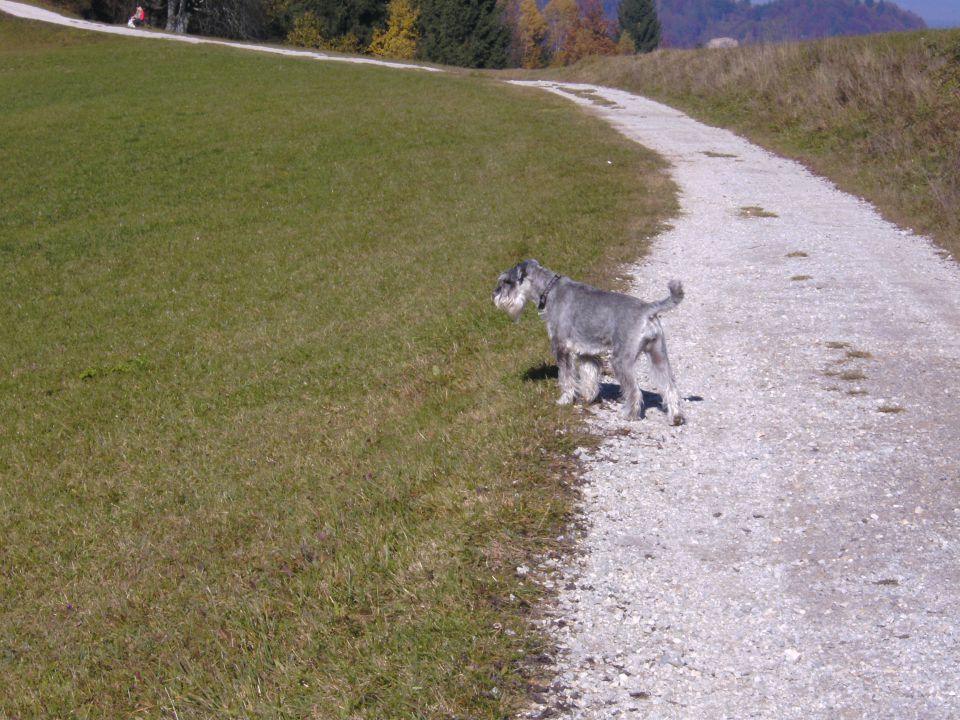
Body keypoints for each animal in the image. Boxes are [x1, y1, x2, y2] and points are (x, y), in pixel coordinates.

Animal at [492, 258, 688, 424]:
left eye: (506, 281)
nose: (494, 295)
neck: (549, 290)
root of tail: (648, 309)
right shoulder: (585, 352)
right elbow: (589, 375)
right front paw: (587, 397)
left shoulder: (561, 348)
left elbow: (566, 377)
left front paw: (564, 400)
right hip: (659, 356)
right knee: (670, 386)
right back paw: (676, 417)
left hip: (621, 360)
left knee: (634, 391)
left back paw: (629, 414)